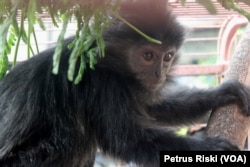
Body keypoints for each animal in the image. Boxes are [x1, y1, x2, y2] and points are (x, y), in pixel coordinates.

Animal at [0, 0, 250, 167]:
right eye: (148, 55)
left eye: (167, 56)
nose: (159, 73)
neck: (105, 61)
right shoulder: (102, 83)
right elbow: (125, 139)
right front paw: (209, 148)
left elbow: (153, 108)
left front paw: (222, 92)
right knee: (71, 137)